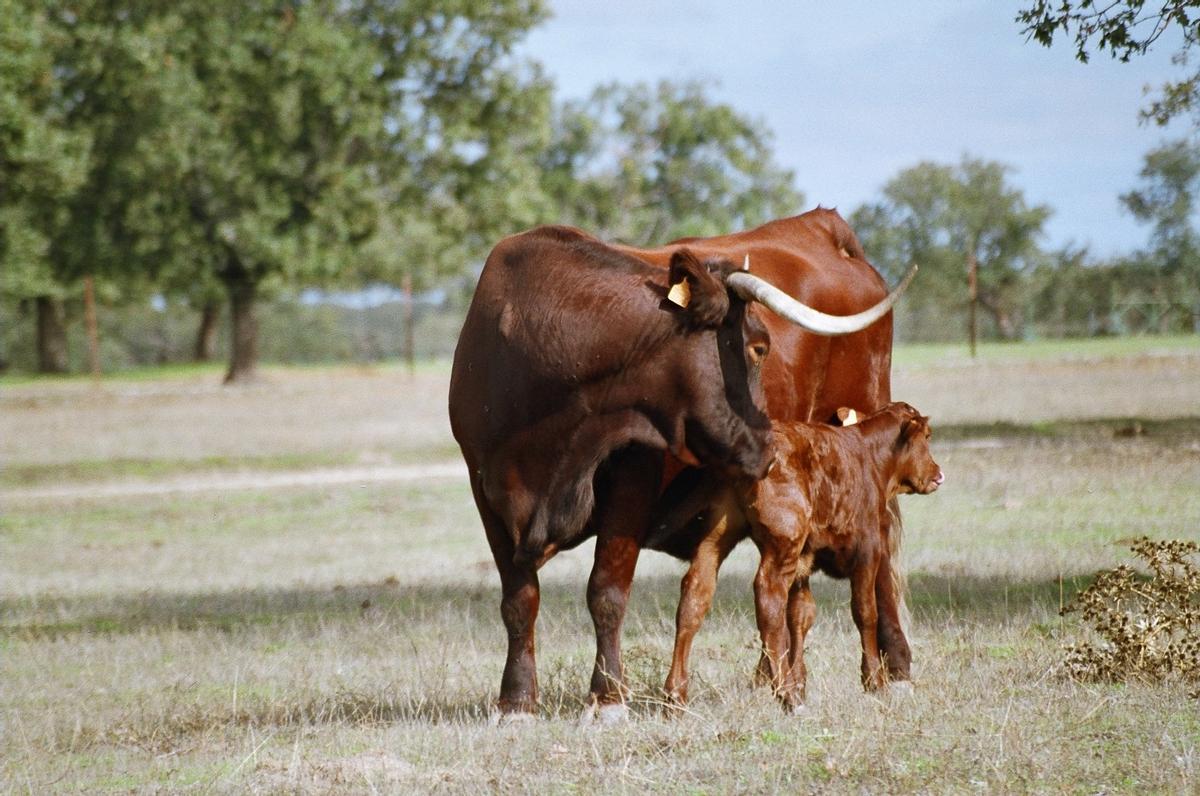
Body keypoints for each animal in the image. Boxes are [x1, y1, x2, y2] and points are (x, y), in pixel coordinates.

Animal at [448, 218, 907, 720]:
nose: (769, 449)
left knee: (881, 557)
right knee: (792, 594)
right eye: (760, 347)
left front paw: (608, 697)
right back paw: (779, 679)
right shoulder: (485, 488)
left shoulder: (631, 476)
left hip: (867, 443)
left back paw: (895, 668)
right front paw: (516, 700)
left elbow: (606, 590)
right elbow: (519, 599)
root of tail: (822, 227)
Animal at [652, 405, 940, 710]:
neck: (868, 456)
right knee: (768, 600)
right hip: (783, 544)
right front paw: (873, 680)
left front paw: (801, 682)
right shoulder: (868, 550)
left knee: (695, 596)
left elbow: (800, 616)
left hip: (716, 538)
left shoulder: (804, 561)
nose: (938, 473)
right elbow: (865, 612)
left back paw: (675, 695)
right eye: (927, 436)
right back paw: (785, 693)